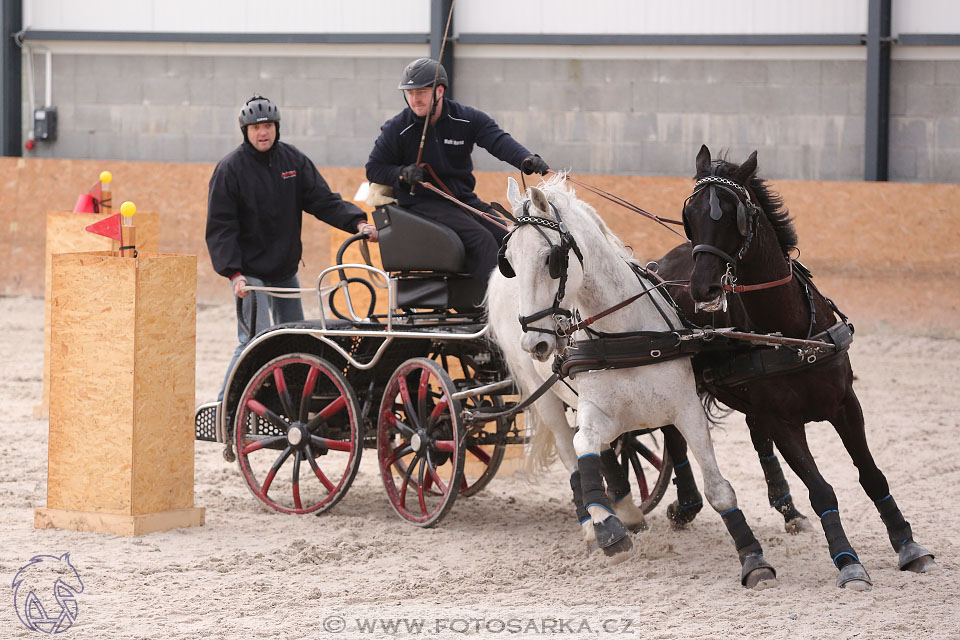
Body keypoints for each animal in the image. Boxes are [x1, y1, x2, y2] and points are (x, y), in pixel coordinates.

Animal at [492, 176, 776, 592]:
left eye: (551, 259)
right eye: (510, 261)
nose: (536, 343)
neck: (622, 334)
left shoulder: (686, 409)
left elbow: (718, 488)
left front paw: (753, 558)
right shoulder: (594, 411)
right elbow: (584, 448)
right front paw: (607, 529)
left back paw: (627, 509)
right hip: (542, 397)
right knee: (569, 450)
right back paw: (595, 524)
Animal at [656, 145, 932, 592]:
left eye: (734, 215)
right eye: (690, 216)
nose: (703, 289)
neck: (794, 333)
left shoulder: (845, 404)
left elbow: (872, 475)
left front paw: (907, 545)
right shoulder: (786, 423)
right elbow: (822, 490)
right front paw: (848, 561)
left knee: (751, 434)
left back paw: (786, 508)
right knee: (672, 436)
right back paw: (685, 505)